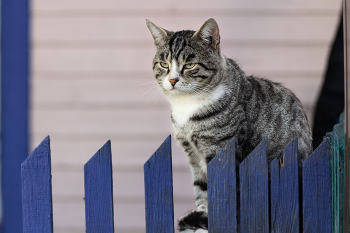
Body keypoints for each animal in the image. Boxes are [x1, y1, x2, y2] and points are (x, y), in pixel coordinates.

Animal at [146, 17, 314, 232]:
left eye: (190, 65)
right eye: (163, 64)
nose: (172, 80)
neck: (187, 105)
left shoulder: (221, 150)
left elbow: (220, 191)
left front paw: (209, 222)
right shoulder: (193, 155)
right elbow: (201, 189)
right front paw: (202, 217)